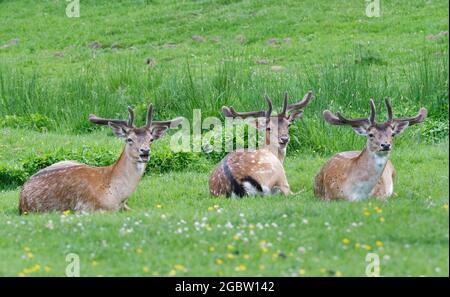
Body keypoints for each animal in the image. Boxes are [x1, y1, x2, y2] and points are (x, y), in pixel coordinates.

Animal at [17, 104, 183, 213]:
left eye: (151, 139)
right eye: (129, 139)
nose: (145, 151)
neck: (116, 194)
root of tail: (21, 198)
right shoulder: (87, 207)